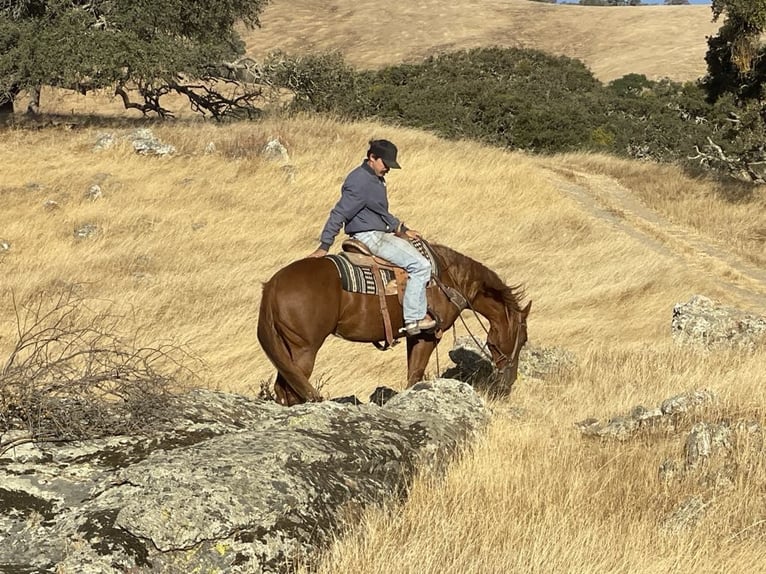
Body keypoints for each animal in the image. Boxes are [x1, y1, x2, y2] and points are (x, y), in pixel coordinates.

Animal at [257, 241, 531, 406]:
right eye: (523, 340)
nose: (509, 383)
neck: (449, 278)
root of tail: (272, 286)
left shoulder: (415, 336)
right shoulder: (428, 335)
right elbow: (415, 374)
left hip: (288, 350)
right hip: (304, 350)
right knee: (292, 390)